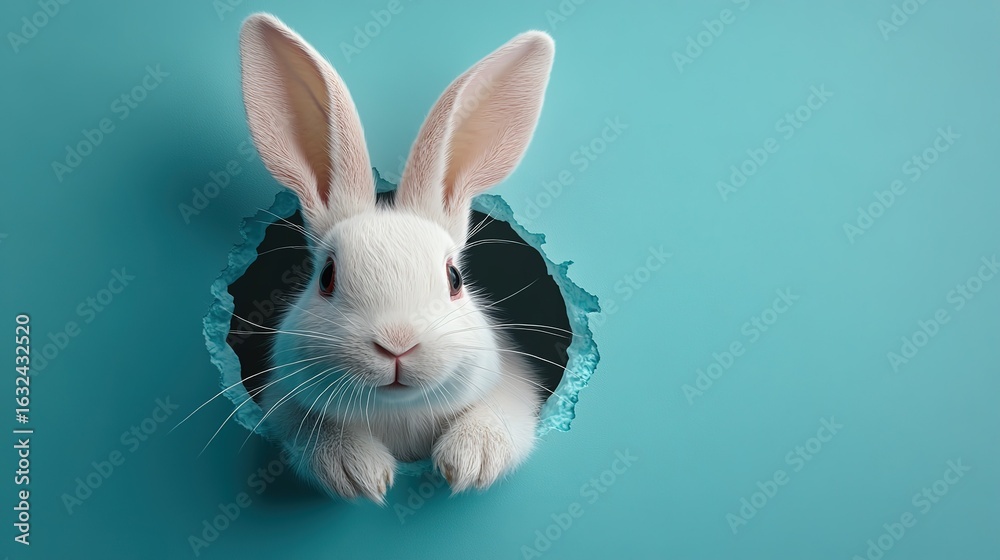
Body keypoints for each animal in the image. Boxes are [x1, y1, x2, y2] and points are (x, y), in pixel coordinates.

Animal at [238, 13, 556, 503]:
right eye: (326, 277)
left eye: (454, 278)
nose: (397, 345)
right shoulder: (284, 404)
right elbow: (315, 429)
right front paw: (359, 472)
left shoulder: (514, 387)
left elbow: (497, 417)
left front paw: (469, 461)